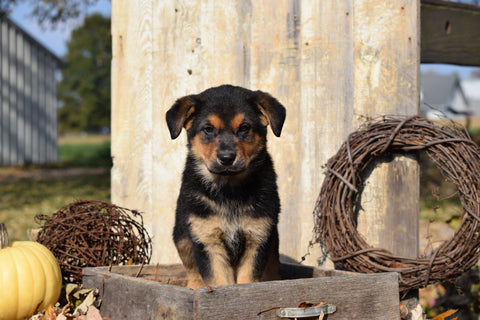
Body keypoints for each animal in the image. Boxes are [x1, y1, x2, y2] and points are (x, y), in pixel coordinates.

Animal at [166, 85, 284, 290]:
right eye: (208, 129)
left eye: (244, 128)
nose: (227, 158)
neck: (229, 189)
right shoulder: (207, 240)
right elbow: (217, 280)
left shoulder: (258, 237)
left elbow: (248, 279)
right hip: (182, 236)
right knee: (191, 269)